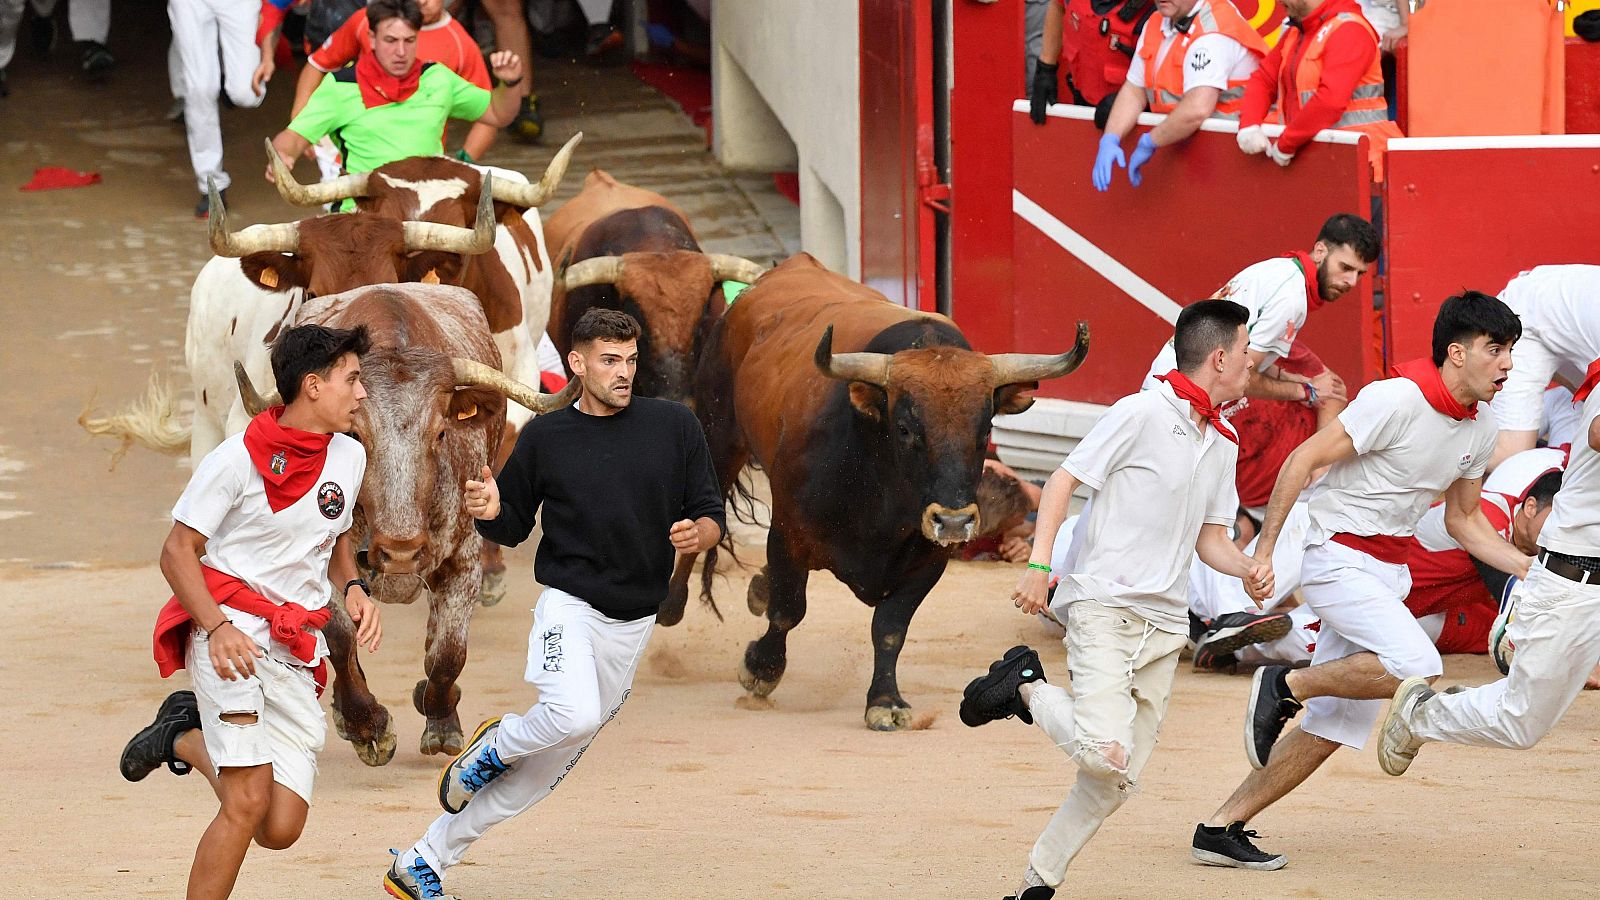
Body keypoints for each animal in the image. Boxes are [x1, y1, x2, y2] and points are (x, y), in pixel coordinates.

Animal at [228, 283, 572, 759]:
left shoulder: (464, 560)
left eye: (441, 433)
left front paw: (441, 719)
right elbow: (340, 639)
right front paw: (366, 724)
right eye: (354, 436)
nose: (401, 552)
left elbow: (448, 653)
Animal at [659, 253, 1088, 730]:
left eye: (985, 431)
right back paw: (672, 604)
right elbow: (788, 609)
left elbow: (890, 628)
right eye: (904, 429)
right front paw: (761, 670)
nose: (954, 521)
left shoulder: (928, 559)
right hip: (719, 435)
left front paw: (885, 700)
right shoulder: (787, 533)